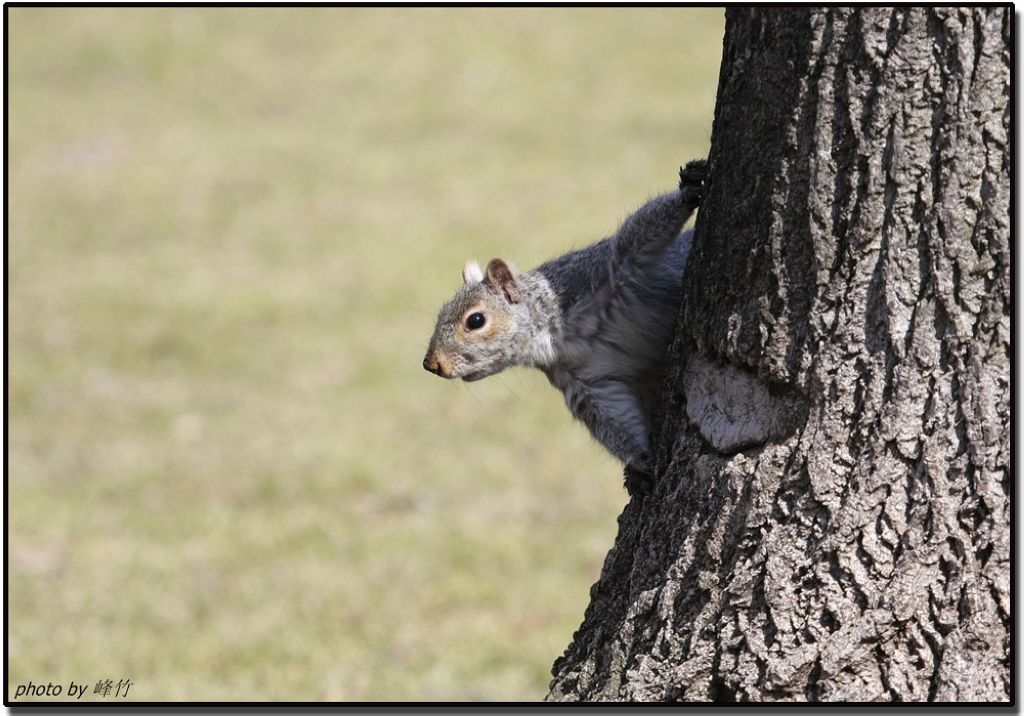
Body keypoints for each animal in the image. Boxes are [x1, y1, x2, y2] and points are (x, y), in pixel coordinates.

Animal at [425, 159, 712, 495]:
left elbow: (637, 234)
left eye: (475, 320)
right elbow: (610, 418)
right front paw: (638, 460)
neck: (555, 335)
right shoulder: (585, 382)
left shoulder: (604, 270)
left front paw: (689, 189)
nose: (431, 364)